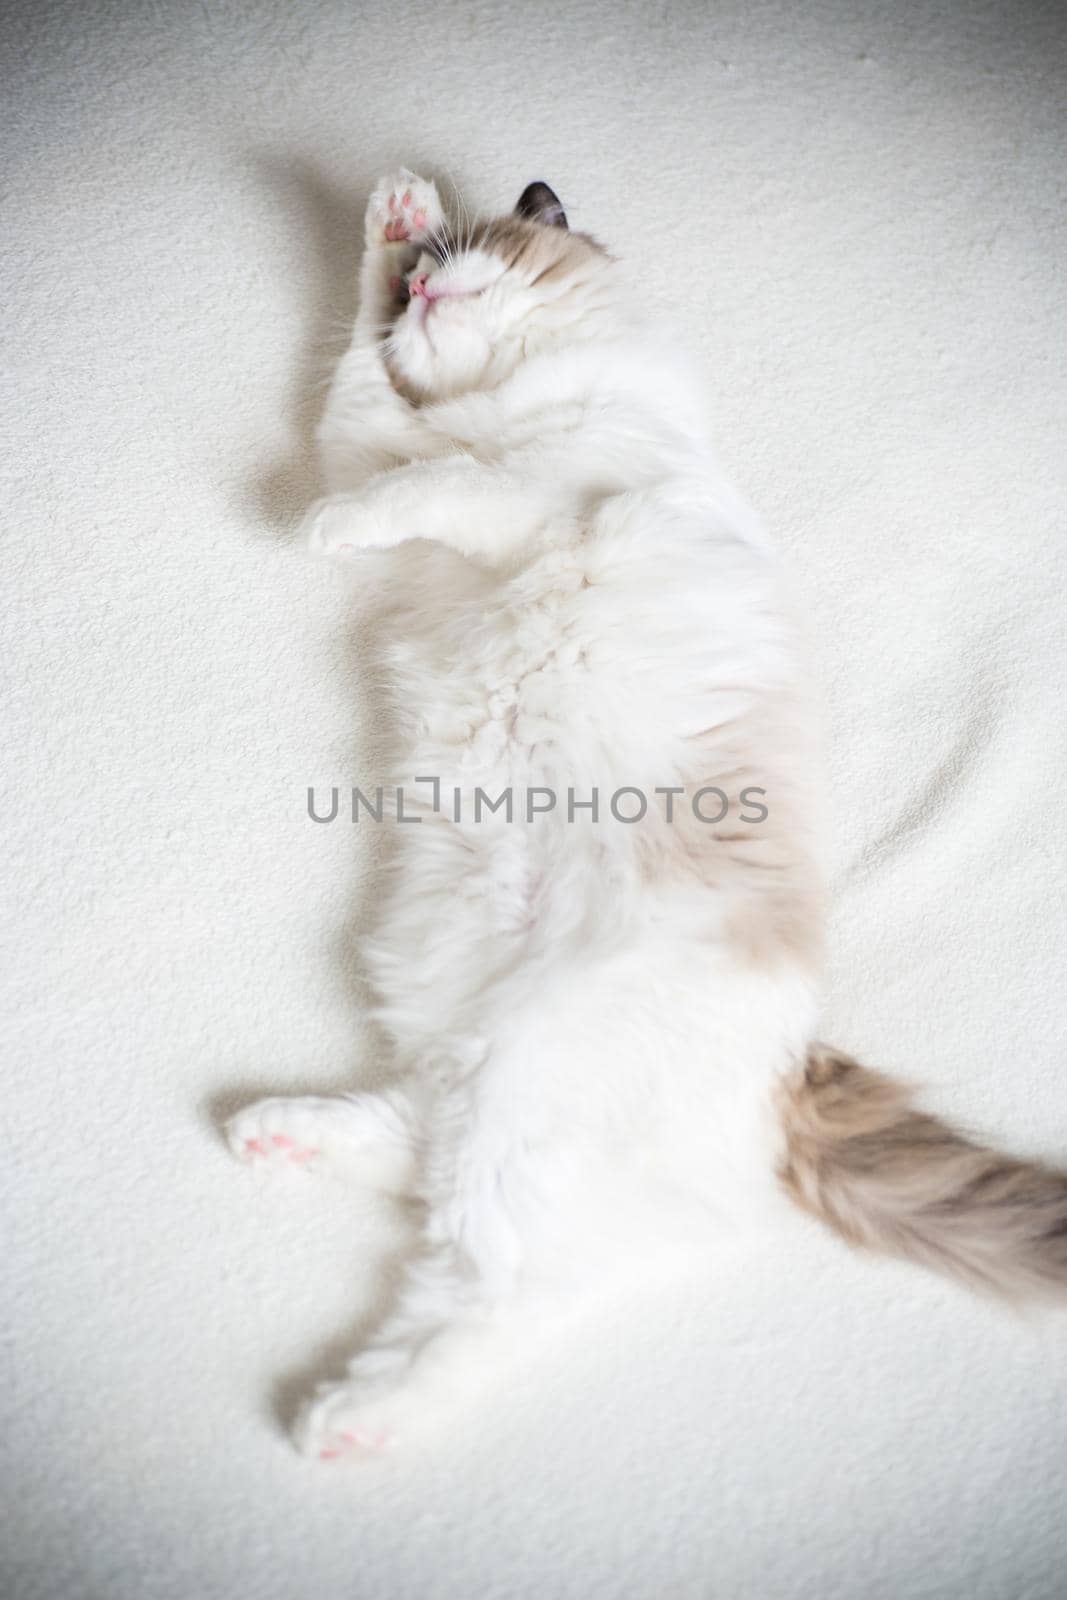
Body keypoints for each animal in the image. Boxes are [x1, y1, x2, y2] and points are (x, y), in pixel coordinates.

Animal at [225, 168, 1067, 1459]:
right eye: (417, 283)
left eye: (465, 256)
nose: (424, 285)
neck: (492, 404)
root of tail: (789, 1074)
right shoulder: (372, 435)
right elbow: (363, 394)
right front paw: (386, 218)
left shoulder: (541, 491)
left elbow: (427, 483)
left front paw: (326, 516)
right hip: (481, 1068)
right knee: (416, 1140)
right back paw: (271, 1131)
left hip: (527, 1096)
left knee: (485, 1297)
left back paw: (344, 1420)